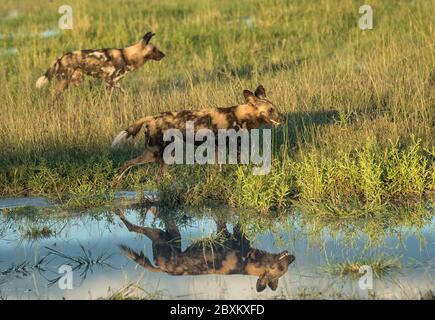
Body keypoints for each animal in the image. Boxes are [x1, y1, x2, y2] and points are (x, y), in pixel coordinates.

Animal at [35, 32, 165, 98]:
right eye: (154, 49)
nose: (164, 54)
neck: (126, 56)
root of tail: (60, 58)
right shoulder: (109, 81)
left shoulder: (114, 82)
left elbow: (124, 93)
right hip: (64, 82)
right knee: (53, 96)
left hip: (76, 81)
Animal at [110, 85, 284, 184]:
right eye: (270, 110)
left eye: (275, 109)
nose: (283, 118)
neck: (240, 116)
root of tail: (153, 117)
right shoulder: (233, 149)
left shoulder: (219, 149)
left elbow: (219, 170)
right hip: (154, 153)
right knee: (129, 163)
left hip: (166, 155)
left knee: (154, 175)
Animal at [116, 209, 296, 292]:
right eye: (283, 267)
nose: (293, 257)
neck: (247, 261)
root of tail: (164, 270)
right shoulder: (226, 233)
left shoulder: (227, 234)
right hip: (171, 237)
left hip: (167, 237)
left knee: (137, 226)